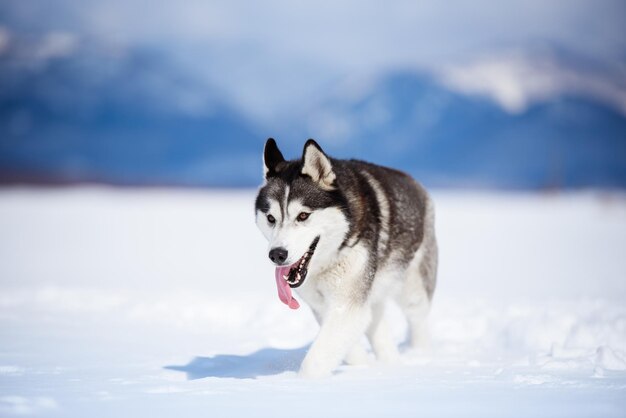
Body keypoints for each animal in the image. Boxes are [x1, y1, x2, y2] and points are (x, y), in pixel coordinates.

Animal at [254, 139, 438, 378]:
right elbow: (345, 347)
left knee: (418, 322)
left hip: (412, 289)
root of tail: (415, 183)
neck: (330, 258)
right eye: (270, 218)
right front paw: (361, 368)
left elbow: (314, 361)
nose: (277, 254)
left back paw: (418, 356)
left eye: (303, 215)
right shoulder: (325, 307)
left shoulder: (347, 304)